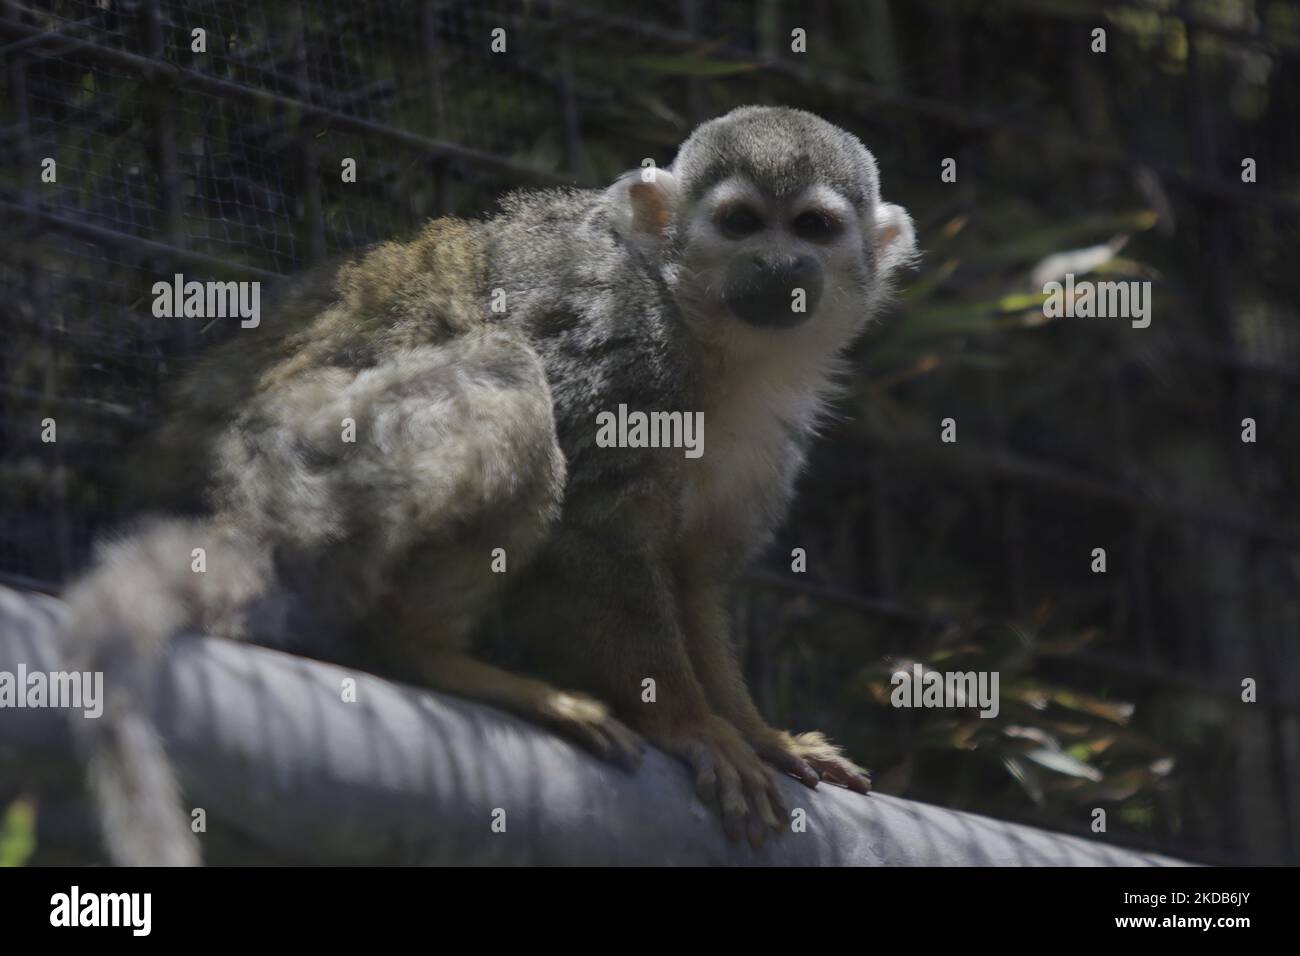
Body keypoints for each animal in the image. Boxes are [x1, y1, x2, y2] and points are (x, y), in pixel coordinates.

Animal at [61, 108, 915, 863]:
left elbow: (695, 574)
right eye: (740, 222)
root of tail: (232, 508)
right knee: (505, 374)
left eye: (813, 228)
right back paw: (422, 653)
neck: (712, 338)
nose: (778, 265)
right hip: (310, 470)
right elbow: (590, 533)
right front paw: (691, 725)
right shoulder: (627, 342)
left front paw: (756, 731)